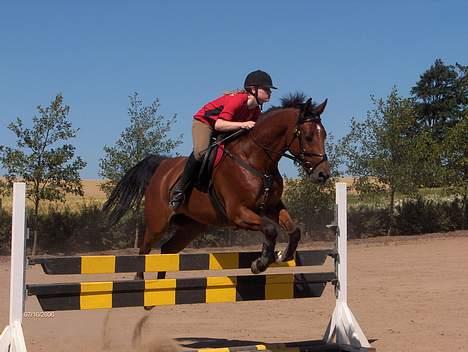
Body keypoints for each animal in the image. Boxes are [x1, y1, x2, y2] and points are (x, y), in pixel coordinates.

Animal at [103, 93, 330, 280]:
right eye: (308, 136)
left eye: (324, 135)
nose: (323, 174)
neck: (256, 160)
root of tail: (162, 165)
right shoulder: (238, 213)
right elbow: (271, 229)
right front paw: (260, 263)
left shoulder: (272, 207)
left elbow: (294, 230)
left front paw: (282, 255)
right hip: (157, 222)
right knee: (145, 250)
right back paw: (140, 283)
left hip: (192, 225)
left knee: (168, 249)